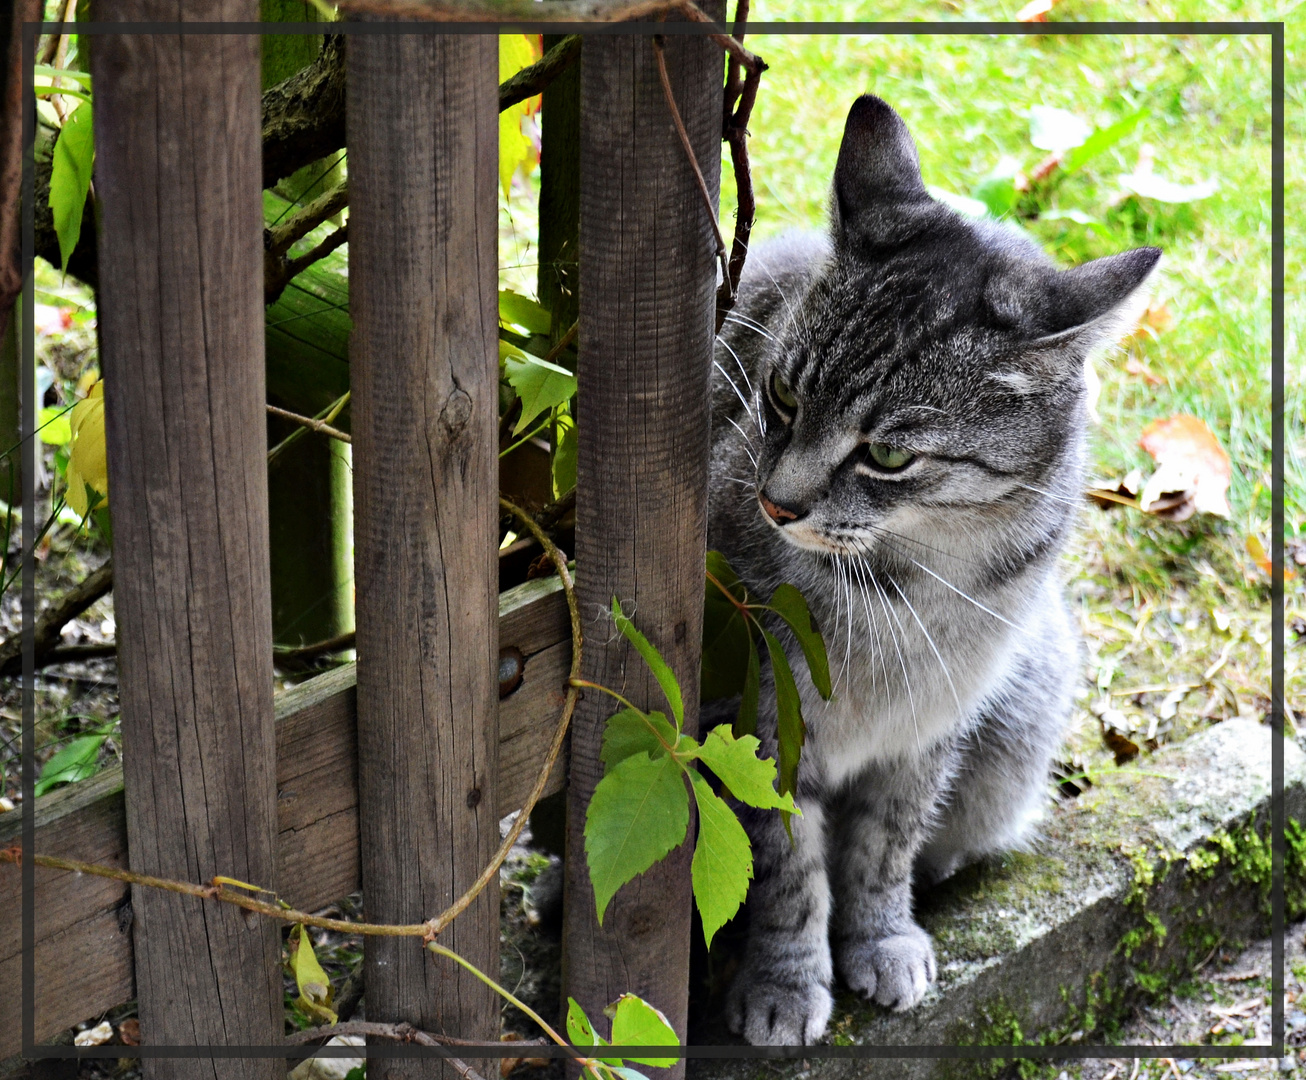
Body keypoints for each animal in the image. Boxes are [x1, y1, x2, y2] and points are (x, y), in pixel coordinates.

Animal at [710, 97, 1159, 1044]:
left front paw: (880, 937)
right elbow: (785, 871)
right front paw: (783, 982)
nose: (775, 504)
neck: (905, 586)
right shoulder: (762, 731)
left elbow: (884, 848)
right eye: (783, 397)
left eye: (886, 454)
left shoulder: (928, 732)